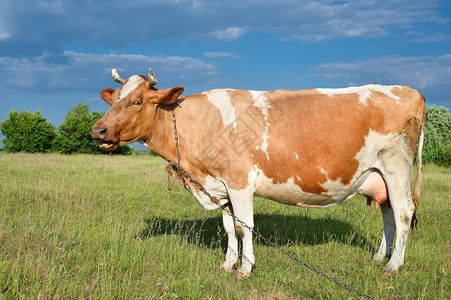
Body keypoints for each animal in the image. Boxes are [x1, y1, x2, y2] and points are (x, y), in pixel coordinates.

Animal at [92, 67, 428, 278]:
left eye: (137, 101)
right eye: (114, 100)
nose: (99, 130)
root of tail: (412, 91)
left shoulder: (240, 183)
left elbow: (245, 228)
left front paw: (245, 268)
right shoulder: (221, 187)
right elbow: (229, 228)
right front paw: (227, 265)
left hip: (397, 166)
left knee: (403, 213)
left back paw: (393, 266)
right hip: (379, 175)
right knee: (388, 214)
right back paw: (379, 257)